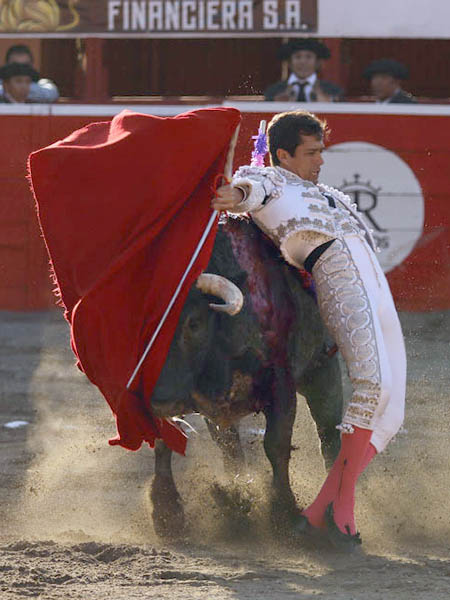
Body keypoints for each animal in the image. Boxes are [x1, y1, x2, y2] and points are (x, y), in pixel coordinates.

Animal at [149, 216, 342, 540]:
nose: (159, 399)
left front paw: (285, 514)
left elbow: (276, 445)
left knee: (329, 436)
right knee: (230, 447)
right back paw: (236, 501)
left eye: (194, 323)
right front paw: (167, 513)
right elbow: (165, 441)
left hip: (322, 371)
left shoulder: (281, 385)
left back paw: (333, 517)